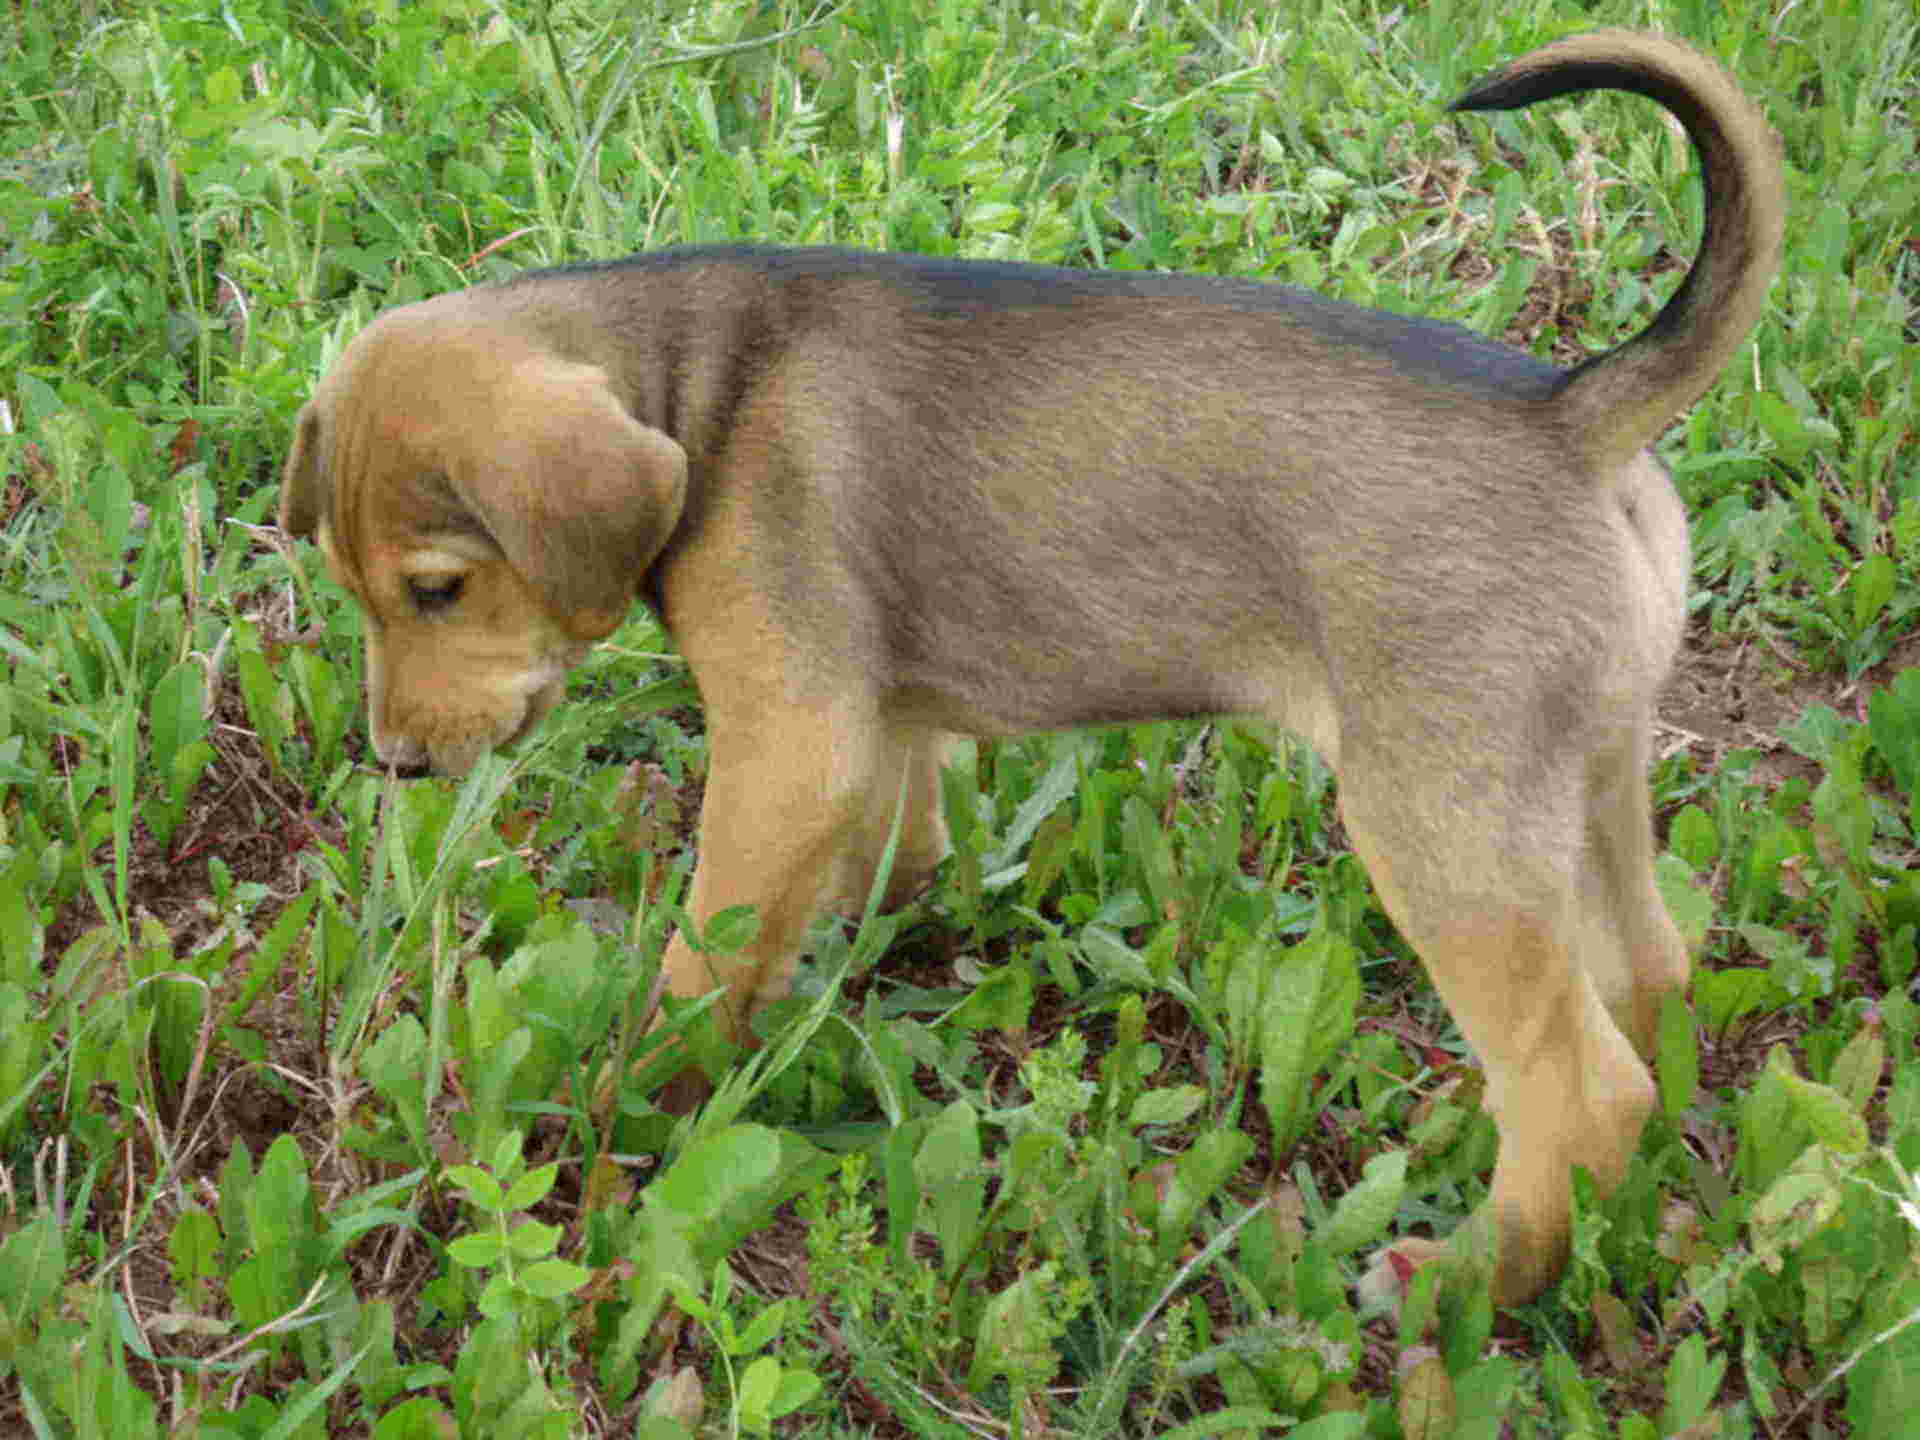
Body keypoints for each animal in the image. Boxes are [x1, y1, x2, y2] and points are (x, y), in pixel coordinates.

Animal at [280, 30, 1781, 1320]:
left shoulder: (791, 739)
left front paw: (633, 1115)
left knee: (1588, 1085)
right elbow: (876, 874)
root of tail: (1572, 418)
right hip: (1583, 786)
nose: (396, 767)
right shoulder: (879, 735)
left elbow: (704, 963)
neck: (701, 392)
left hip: (1437, 826)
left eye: (438, 589)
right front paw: (843, 977)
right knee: (1641, 986)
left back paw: (1467, 1279)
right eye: (354, 590)